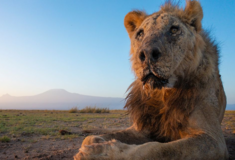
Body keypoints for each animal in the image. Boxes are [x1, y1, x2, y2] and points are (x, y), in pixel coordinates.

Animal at [74, 0, 229, 159]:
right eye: (140, 33)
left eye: (174, 29)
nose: (147, 53)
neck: (161, 94)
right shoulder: (142, 128)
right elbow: (90, 138)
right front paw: (97, 141)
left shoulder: (214, 139)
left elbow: (155, 149)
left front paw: (100, 152)